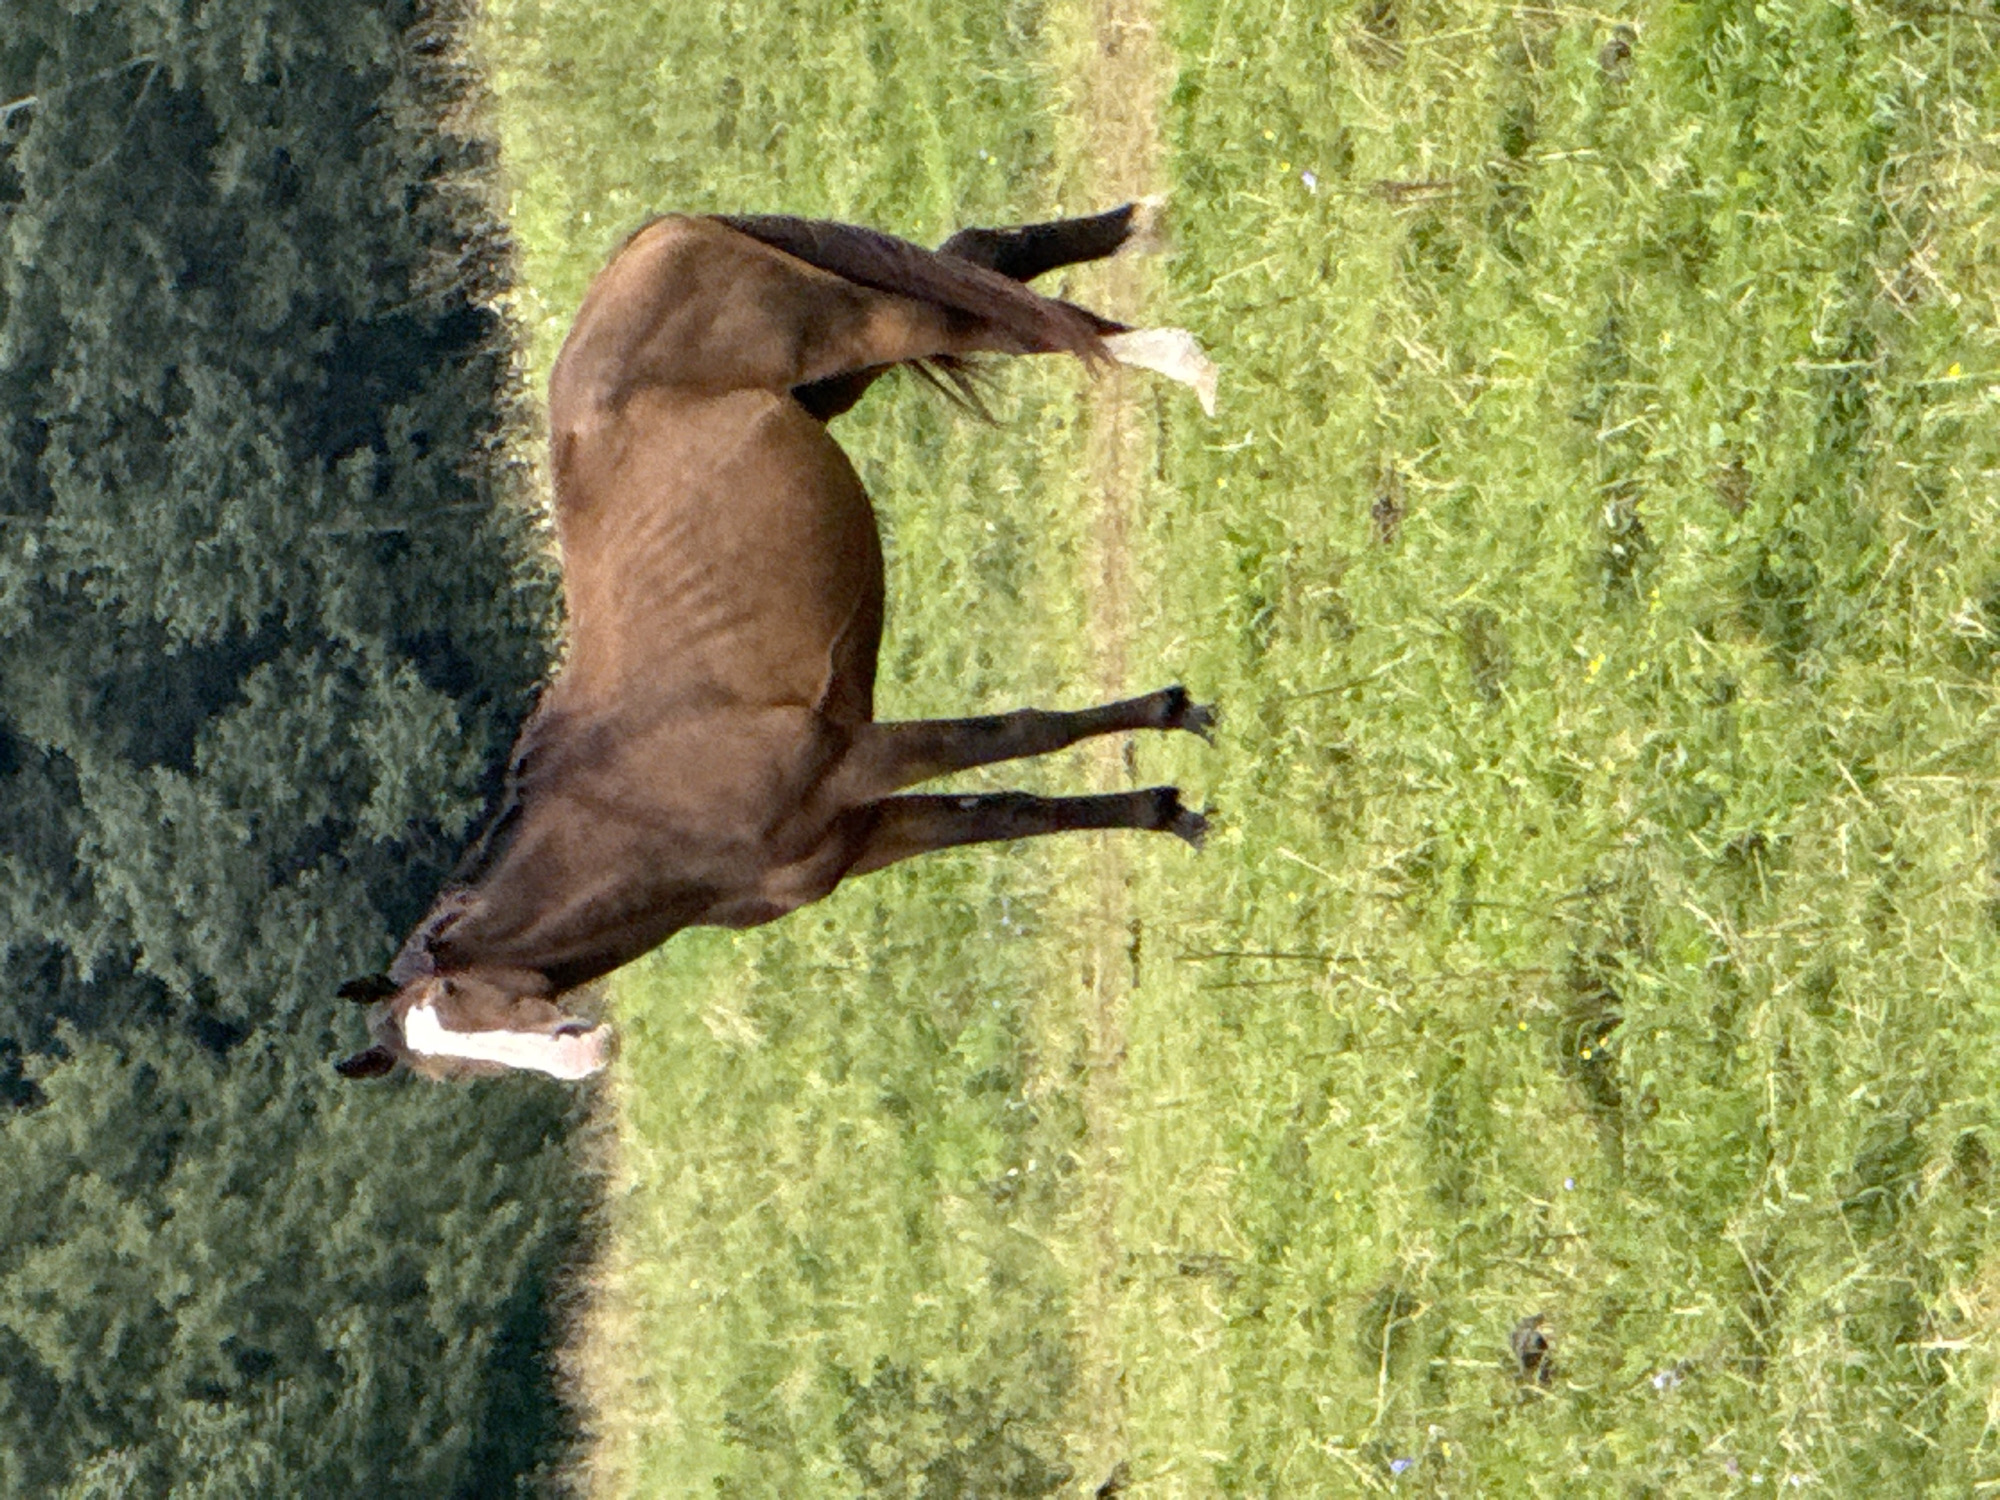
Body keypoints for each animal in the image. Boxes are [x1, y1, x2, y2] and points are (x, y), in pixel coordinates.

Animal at [334, 204, 1217, 1081]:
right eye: (455, 1069)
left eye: (459, 995)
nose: (585, 1051)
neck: (634, 805)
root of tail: (653, 238)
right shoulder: (866, 836)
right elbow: (1014, 811)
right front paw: (1166, 809)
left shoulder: (857, 757)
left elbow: (1024, 730)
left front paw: (1173, 716)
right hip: (837, 376)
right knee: (980, 261)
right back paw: (1138, 234)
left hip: (863, 327)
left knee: (1008, 324)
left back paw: (1179, 359)